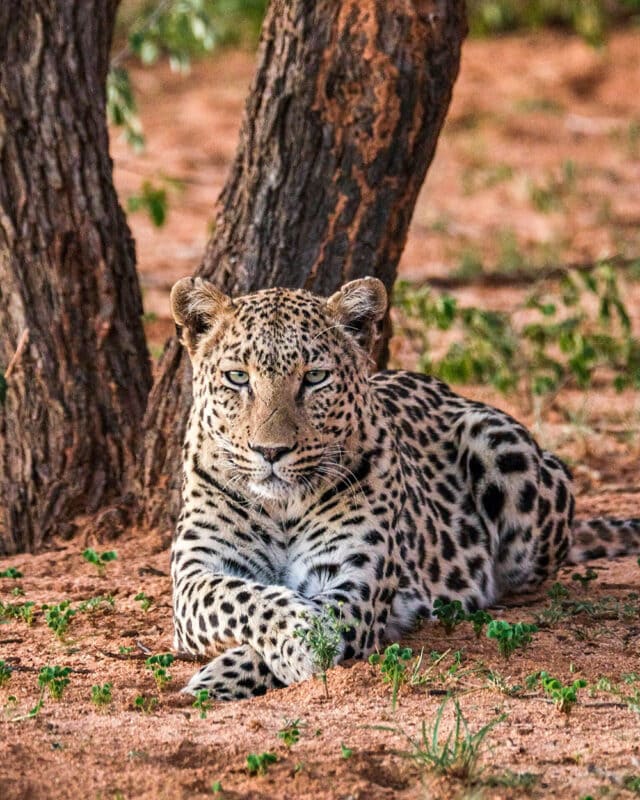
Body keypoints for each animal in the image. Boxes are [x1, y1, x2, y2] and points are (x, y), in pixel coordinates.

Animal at [169, 275, 640, 701]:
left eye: (315, 377)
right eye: (237, 377)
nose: (271, 451)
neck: (281, 507)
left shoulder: (352, 582)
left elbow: (316, 620)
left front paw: (295, 648)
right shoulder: (195, 574)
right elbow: (244, 598)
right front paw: (296, 639)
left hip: (500, 447)